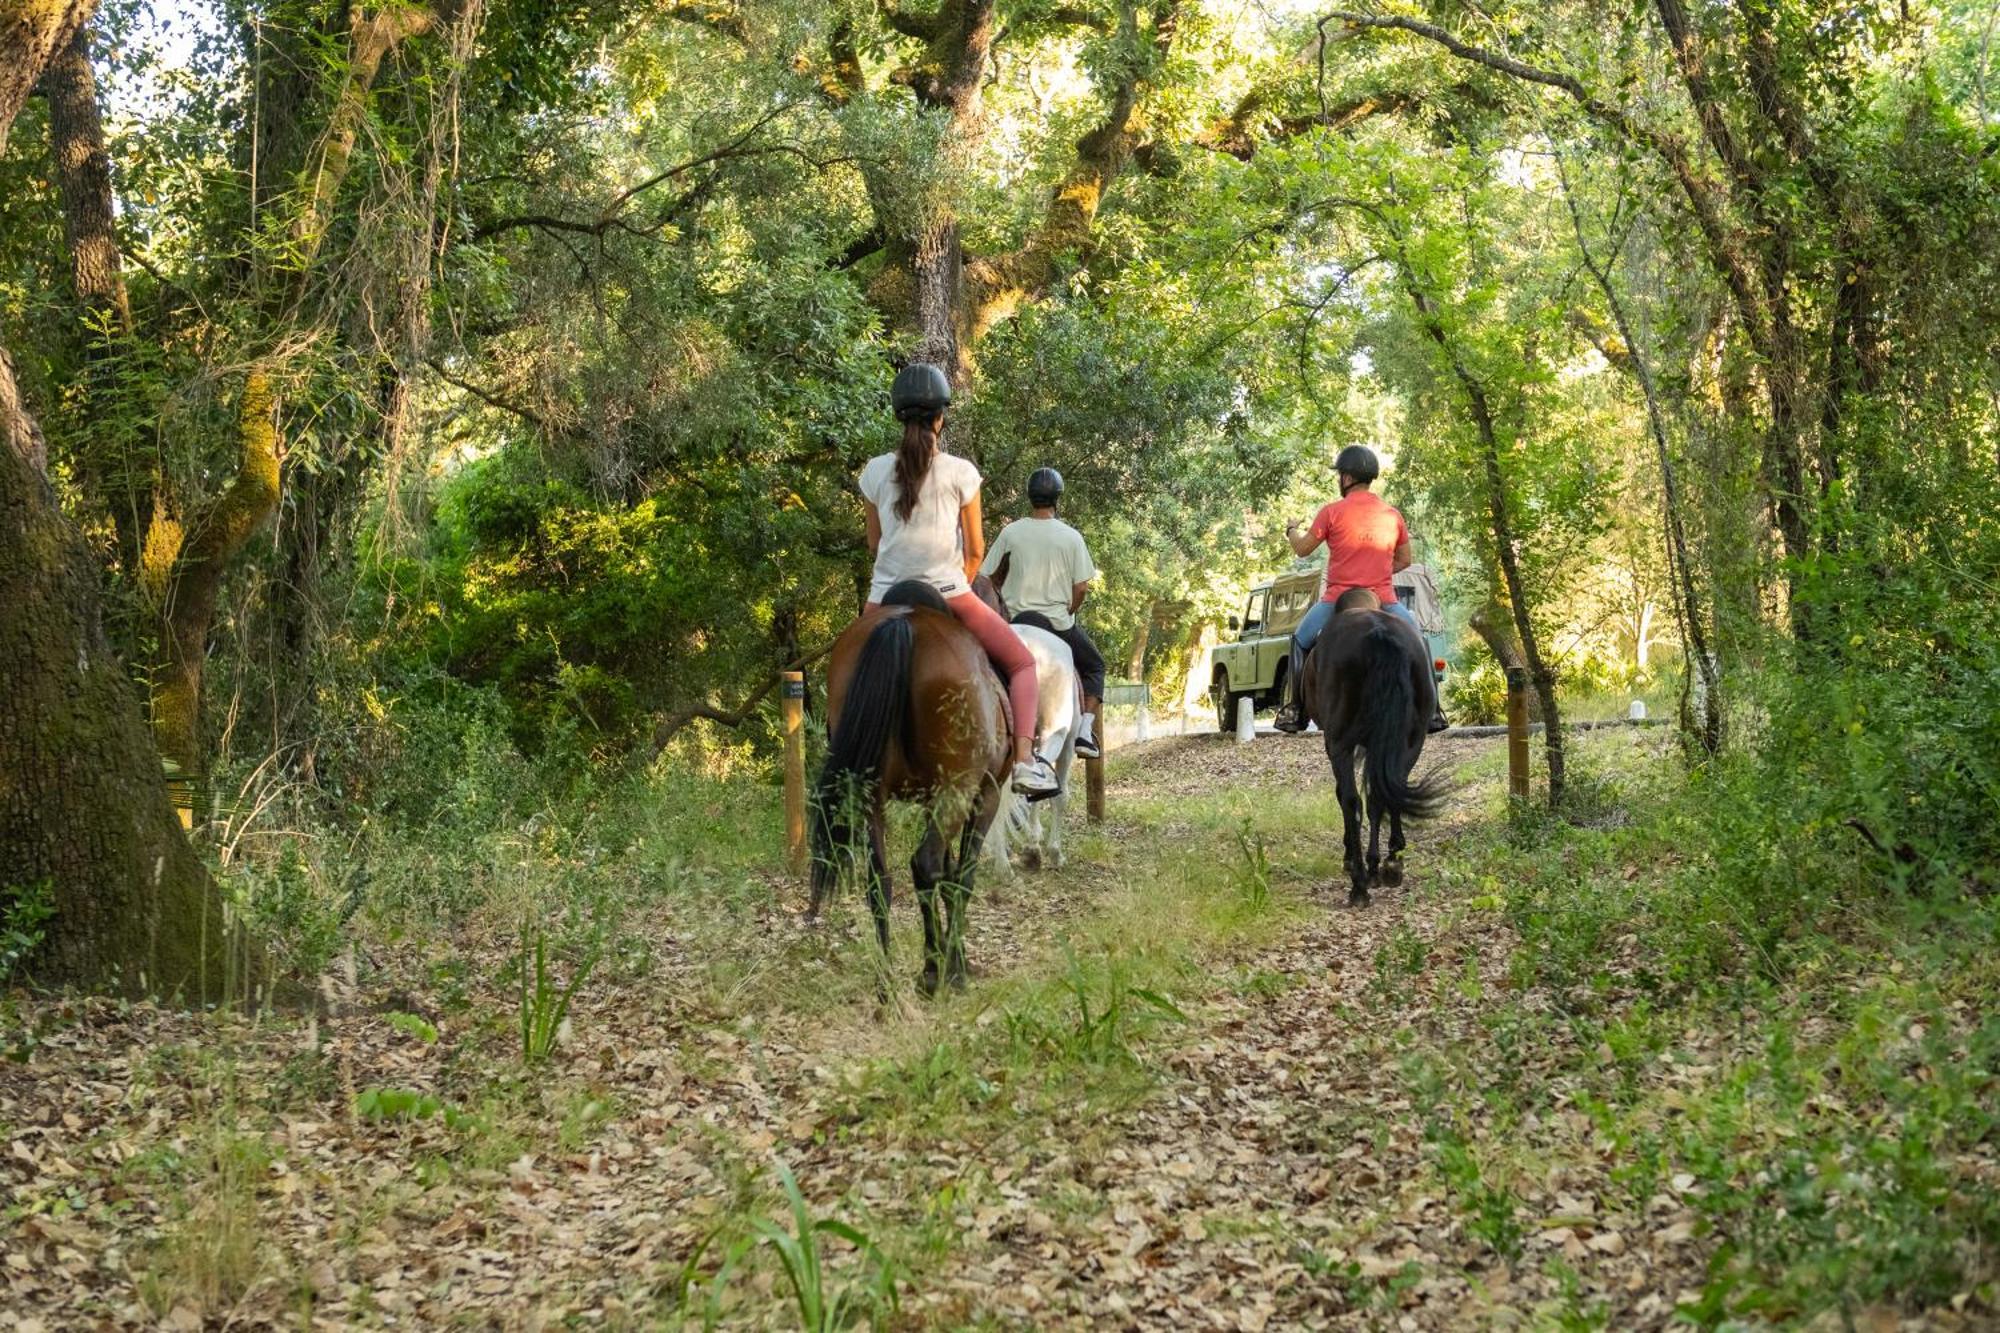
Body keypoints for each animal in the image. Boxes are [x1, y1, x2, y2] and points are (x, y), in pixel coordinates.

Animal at [804, 576, 1008, 992]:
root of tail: (905, 621)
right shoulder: (983, 796)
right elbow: (961, 876)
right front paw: (955, 966)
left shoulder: (935, 801)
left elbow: (947, 876)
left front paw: (950, 958)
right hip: (956, 790)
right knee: (924, 863)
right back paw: (932, 973)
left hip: (873, 793)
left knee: (879, 880)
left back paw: (887, 982)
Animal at [1296, 592, 1440, 896]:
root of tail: (1378, 632)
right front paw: (1383, 860)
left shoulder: (1336, 744)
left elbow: (1344, 795)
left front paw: (1350, 856)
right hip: (1412, 740)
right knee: (1388, 789)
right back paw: (1387, 864)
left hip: (1339, 741)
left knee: (1352, 799)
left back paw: (1359, 883)